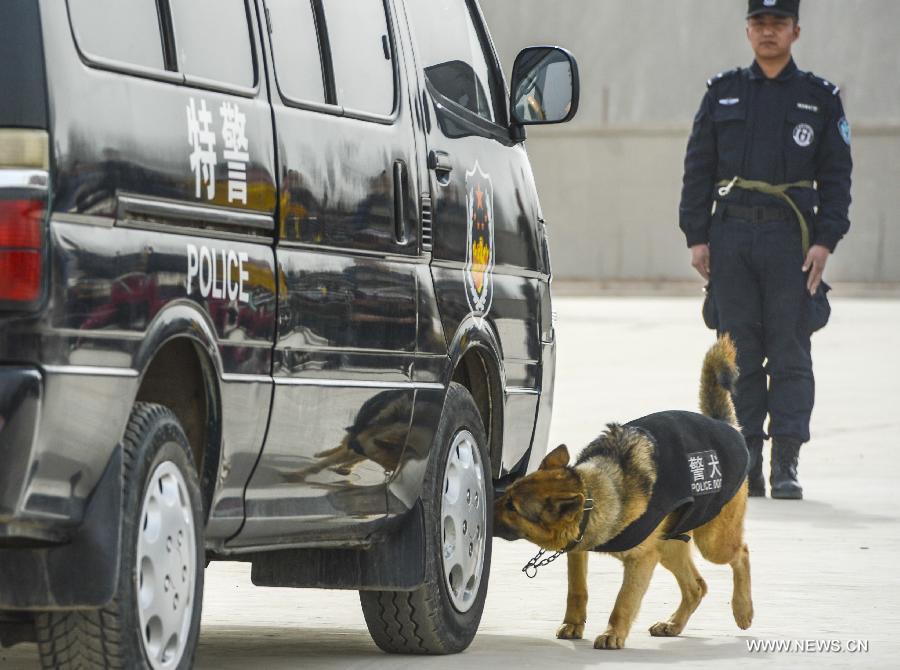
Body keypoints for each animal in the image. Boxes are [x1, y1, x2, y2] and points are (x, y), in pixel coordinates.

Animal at [492, 338, 752, 652]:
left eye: (512, 507)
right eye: (507, 495)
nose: (485, 502)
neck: (597, 491)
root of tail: (725, 425)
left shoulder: (641, 560)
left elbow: (624, 600)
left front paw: (613, 633)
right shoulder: (578, 552)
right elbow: (577, 591)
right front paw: (574, 624)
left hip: (711, 541)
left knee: (741, 554)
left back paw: (743, 609)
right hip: (669, 543)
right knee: (697, 587)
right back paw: (674, 625)